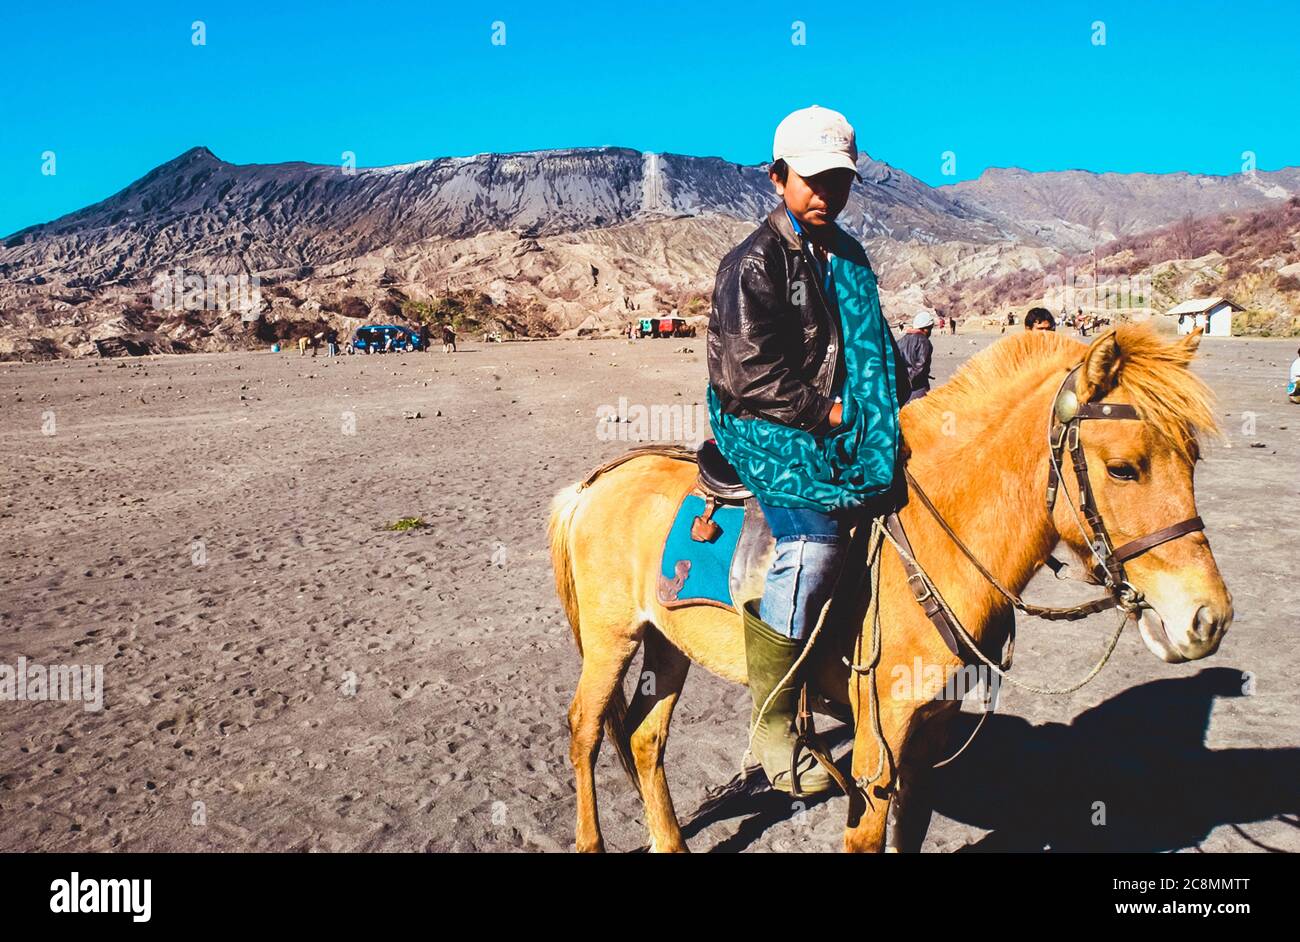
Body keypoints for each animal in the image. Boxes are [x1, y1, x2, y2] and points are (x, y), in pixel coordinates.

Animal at [546, 324, 1227, 852]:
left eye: (1194, 459)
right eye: (1124, 468)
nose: (1207, 619)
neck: (936, 547)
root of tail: (598, 481)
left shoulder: (930, 735)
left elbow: (912, 830)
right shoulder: (880, 742)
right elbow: (869, 836)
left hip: (667, 643)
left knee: (644, 737)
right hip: (611, 640)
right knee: (585, 730)